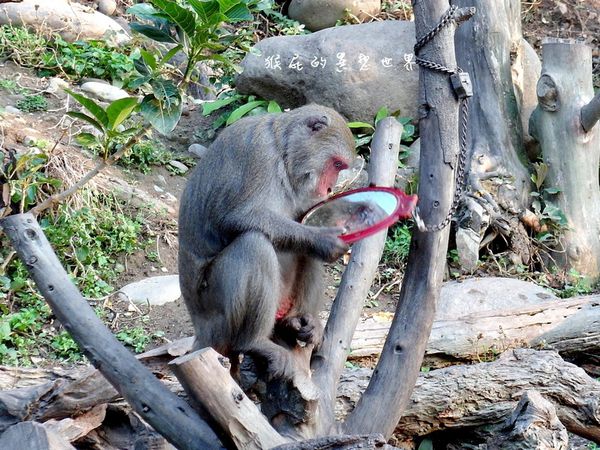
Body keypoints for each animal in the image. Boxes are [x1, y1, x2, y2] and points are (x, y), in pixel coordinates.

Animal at [178, 103, 356, 378]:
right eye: (337, 164)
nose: (329, 190)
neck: (283, 153)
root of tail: (202, 331)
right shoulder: (259, 155)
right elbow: (237, 218)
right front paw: (324, 239)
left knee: (303, 251)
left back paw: (299, 322)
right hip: (217, 313)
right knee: (255, 244)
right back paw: (255, 341)